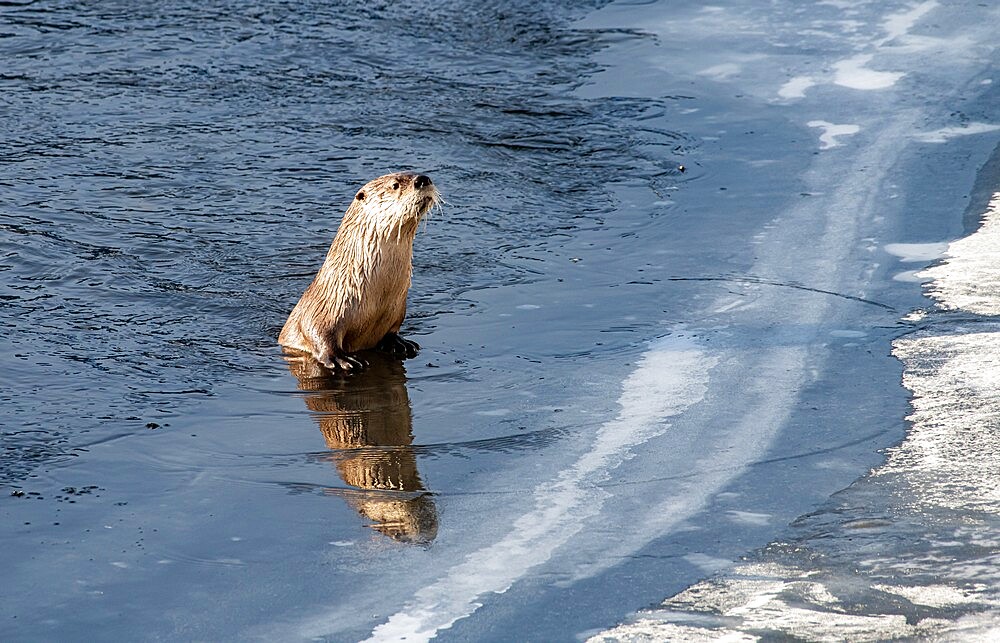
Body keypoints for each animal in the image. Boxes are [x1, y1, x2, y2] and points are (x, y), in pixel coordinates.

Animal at [280, 171, 440, 372]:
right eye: (395, 185)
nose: (423, 179)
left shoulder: (397, 309)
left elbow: (393, 329)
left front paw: (399, 343)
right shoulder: (325, 307)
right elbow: (315, 329)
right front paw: (341, 358)